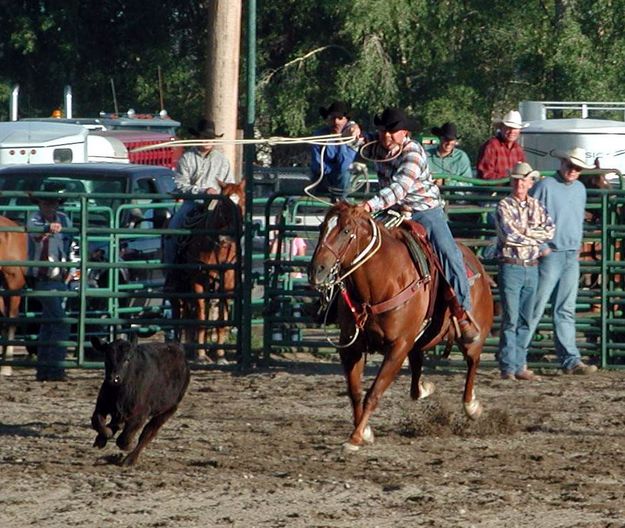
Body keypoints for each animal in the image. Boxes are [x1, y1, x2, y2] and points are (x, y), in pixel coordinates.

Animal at [174, 182, 247, 364]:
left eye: (243, 202)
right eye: (222, 204)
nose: (228, 236)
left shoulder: (227, 281)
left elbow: (221, 318)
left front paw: (220, 355)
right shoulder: (198, 280)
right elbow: (201, 316)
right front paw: (200, 355)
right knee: (182, 311)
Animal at [308, 202, 492, 450]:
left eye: (346, 231)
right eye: (321, 228)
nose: (316, 270)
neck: (381, 282)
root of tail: (477, 264)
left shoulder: (398, 346)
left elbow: (374, 393)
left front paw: (355, 437)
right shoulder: (351, 346)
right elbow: (355, 391)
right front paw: (364, 431)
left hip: (471, 336)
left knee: (473, 361)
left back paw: (471, 406)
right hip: (419, 339)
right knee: (417, 369)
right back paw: (424, 388)